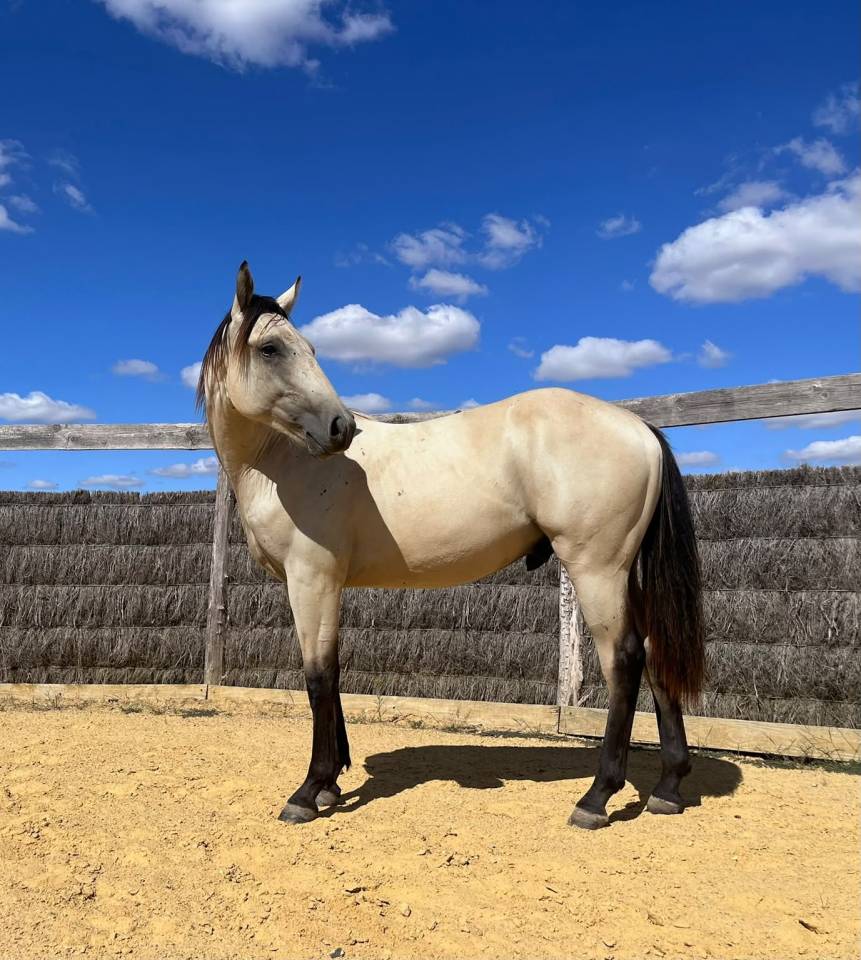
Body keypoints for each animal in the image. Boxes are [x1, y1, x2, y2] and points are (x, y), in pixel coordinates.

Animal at [198, 262, 704, 830]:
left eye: (305, 347)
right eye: (271, 349)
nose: (341, 428)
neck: (283, 462)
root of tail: (638, 426)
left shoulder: (312, 580)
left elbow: (318, 677)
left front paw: (309, 790)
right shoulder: (326, 585)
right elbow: (333, 672)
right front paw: (330, 785)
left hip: (597, 570)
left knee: (625, 660)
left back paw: (597, 797)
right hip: (626, 572)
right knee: (656, 654)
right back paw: (667, 787)